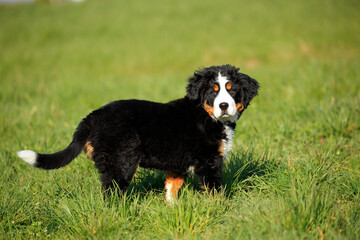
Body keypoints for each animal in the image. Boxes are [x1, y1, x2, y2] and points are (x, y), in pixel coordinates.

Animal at [16, 65, 258, 202]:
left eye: (232, 91)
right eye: (212, 92)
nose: (224, 106)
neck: (207, 116)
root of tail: (91, 118)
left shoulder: (177, 164)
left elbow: (172, 189)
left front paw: (173, 210)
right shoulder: (209, 162)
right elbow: (217, 192)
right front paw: (224, 211)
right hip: (120, 160)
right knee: (112, 193)